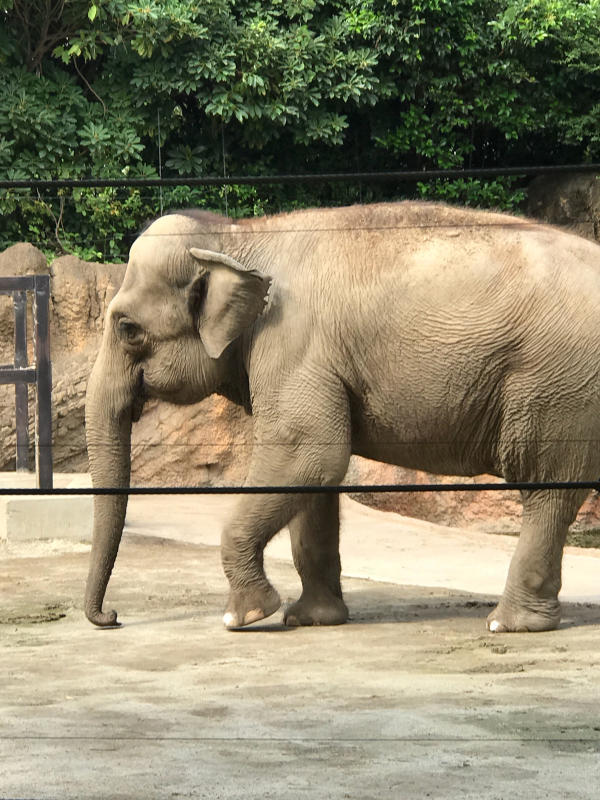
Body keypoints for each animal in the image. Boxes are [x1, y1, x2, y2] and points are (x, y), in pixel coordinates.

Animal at [84, 203, 600, 636]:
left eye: (128, 329)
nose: (112, 617)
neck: (239, 235)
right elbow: (316, 476)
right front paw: (311, 619)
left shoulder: (292, 344)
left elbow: (310, 454)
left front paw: (245, 616)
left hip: (555, 385)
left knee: (545, 488)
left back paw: (506, 625)